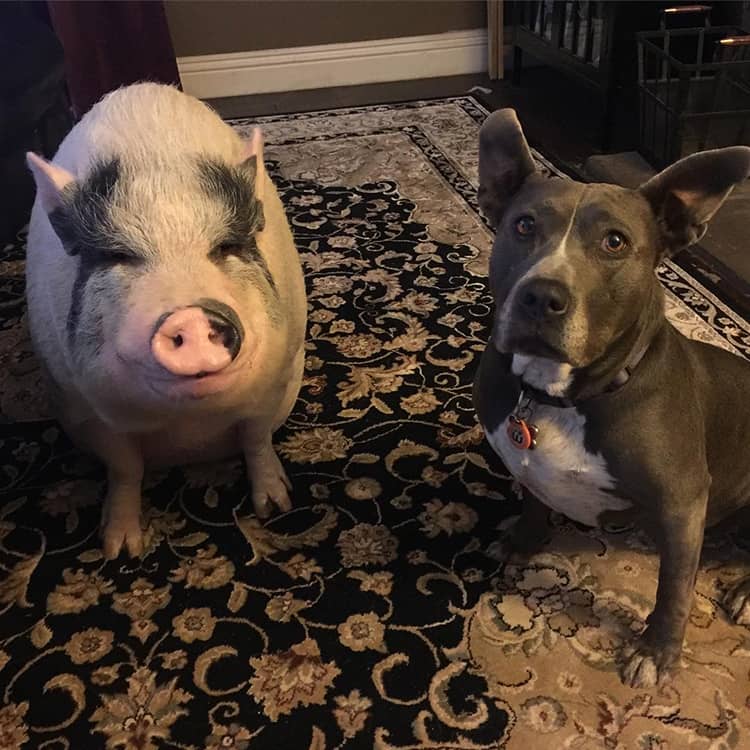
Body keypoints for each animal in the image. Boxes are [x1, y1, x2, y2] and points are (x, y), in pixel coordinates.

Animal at [25, 82, 307, 558]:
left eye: (227, 247)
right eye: (119, 256)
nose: (191, 315)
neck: (189, 428)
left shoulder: (275, 376)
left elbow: (256, 439)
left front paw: (276, 508)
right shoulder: (89, 410)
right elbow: (125, 469)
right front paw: (120, 551)